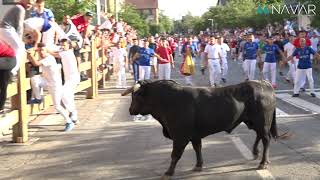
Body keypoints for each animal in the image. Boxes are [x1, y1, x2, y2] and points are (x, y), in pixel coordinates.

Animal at [121, 80, 278, 179]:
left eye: (136, 95)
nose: (130, 110)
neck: (168, 100)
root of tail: (264, 84)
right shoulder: (194, 135)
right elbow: (198, 148)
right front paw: (198, 166)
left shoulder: (180, 137)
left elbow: (175, 155)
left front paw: (168, 172)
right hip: (253, 122)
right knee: (260, 136)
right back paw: (255, 152)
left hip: (262, 122)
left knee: (266, 139)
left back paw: (263, 162)